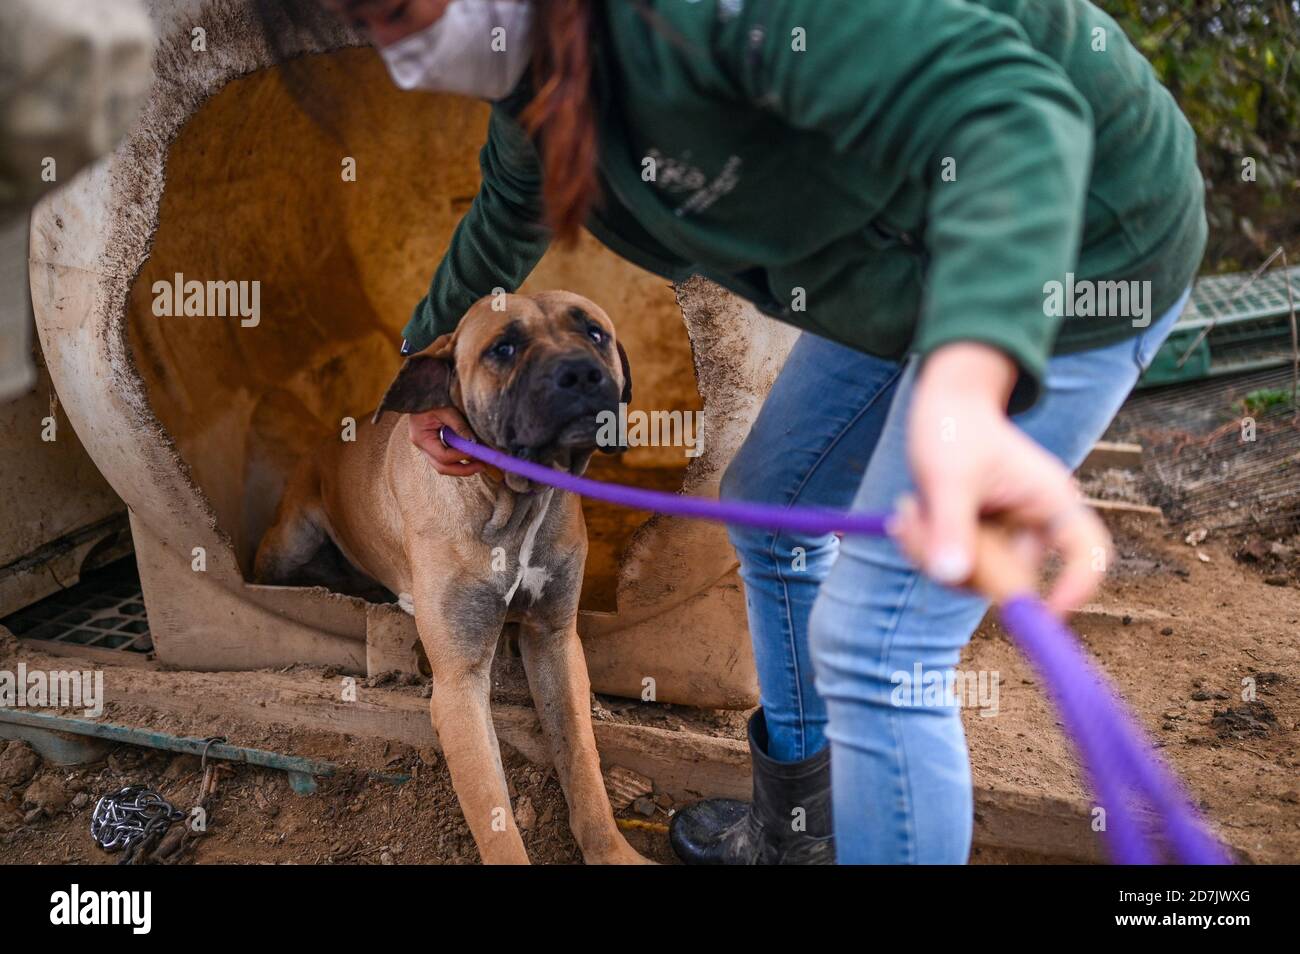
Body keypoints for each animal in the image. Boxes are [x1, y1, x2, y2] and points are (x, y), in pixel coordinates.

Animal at [254, 291, 650, 868]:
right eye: (503, 348)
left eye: (594, 332)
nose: (578, 372)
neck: (511, 501)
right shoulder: (459, 683)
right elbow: (495, 816)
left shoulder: (554, 642)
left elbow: (583, 764)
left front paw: (612, 851)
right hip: (290, 540)